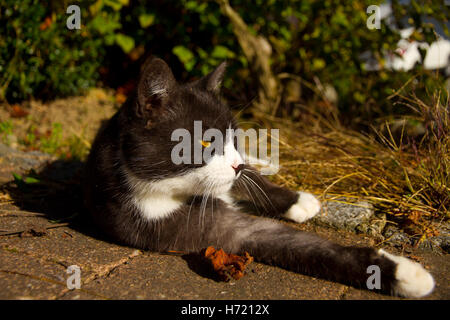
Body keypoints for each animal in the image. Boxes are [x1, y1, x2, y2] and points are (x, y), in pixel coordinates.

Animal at [82, 56, 434, 298]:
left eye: (233, 136)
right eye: (205, 142)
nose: (235, 163)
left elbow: (253, 184)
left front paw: (296, 200)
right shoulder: (175, 223)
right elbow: (293, 243)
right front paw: (404, 274)